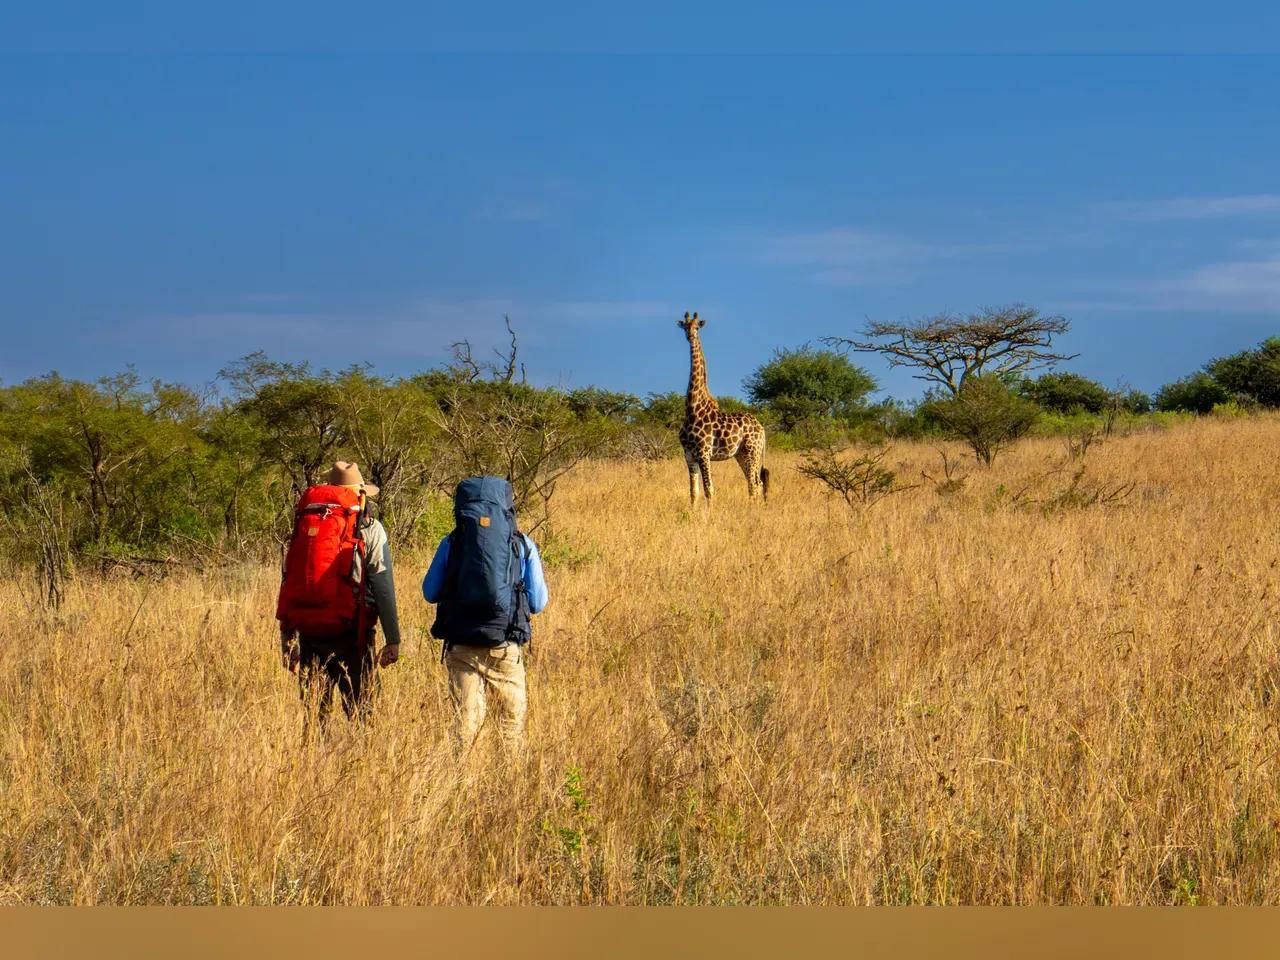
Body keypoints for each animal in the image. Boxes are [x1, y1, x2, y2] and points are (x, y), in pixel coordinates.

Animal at [677, 311, 770, 504]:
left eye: (697, 327)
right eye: (685, 326)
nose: (690, 336)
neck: (692, 409)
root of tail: (762, 429)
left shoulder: (704, 453)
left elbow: (709, 490)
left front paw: (710, 513)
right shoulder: (689, 455)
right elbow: (693, 492)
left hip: (752, 451)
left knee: (754, 484)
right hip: (741, 454)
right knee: (755, 483)